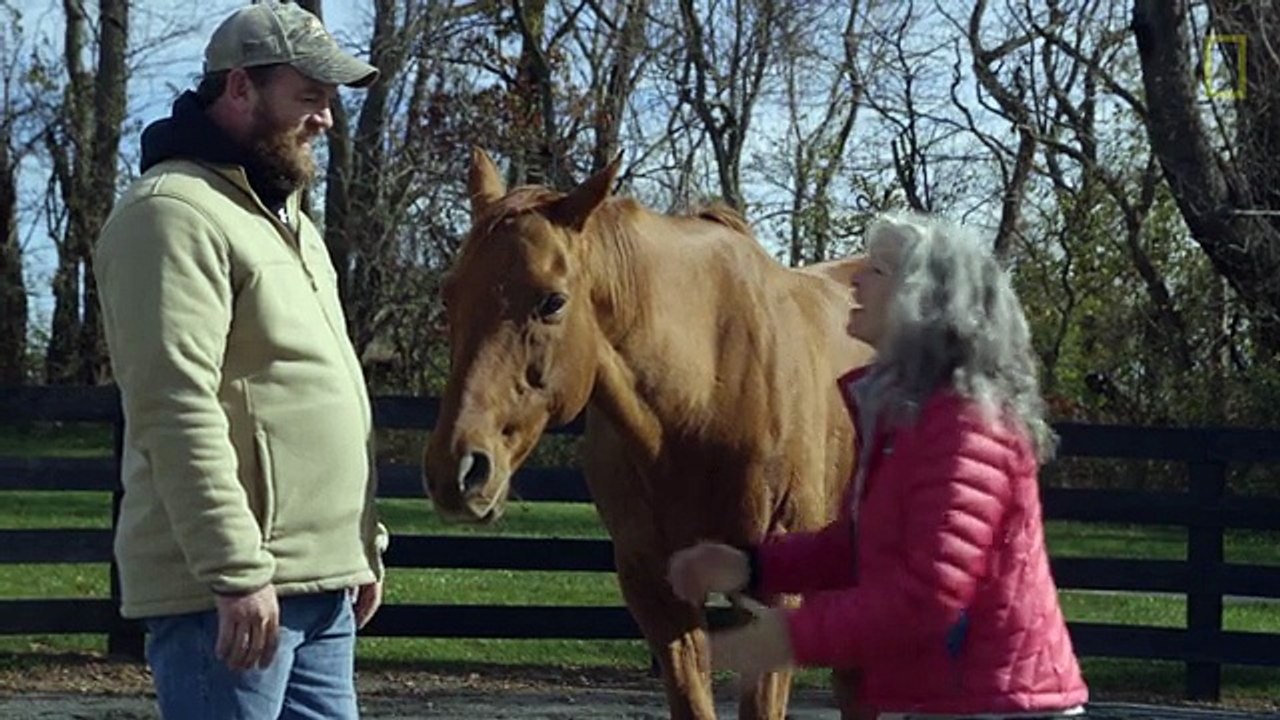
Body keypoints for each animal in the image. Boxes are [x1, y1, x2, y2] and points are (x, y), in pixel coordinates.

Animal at [422, 147, 875, 720]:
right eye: (449, 295)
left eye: (552, 301)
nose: (457, 470)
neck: (705, 398)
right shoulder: (657, 591)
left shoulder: (770, 599)